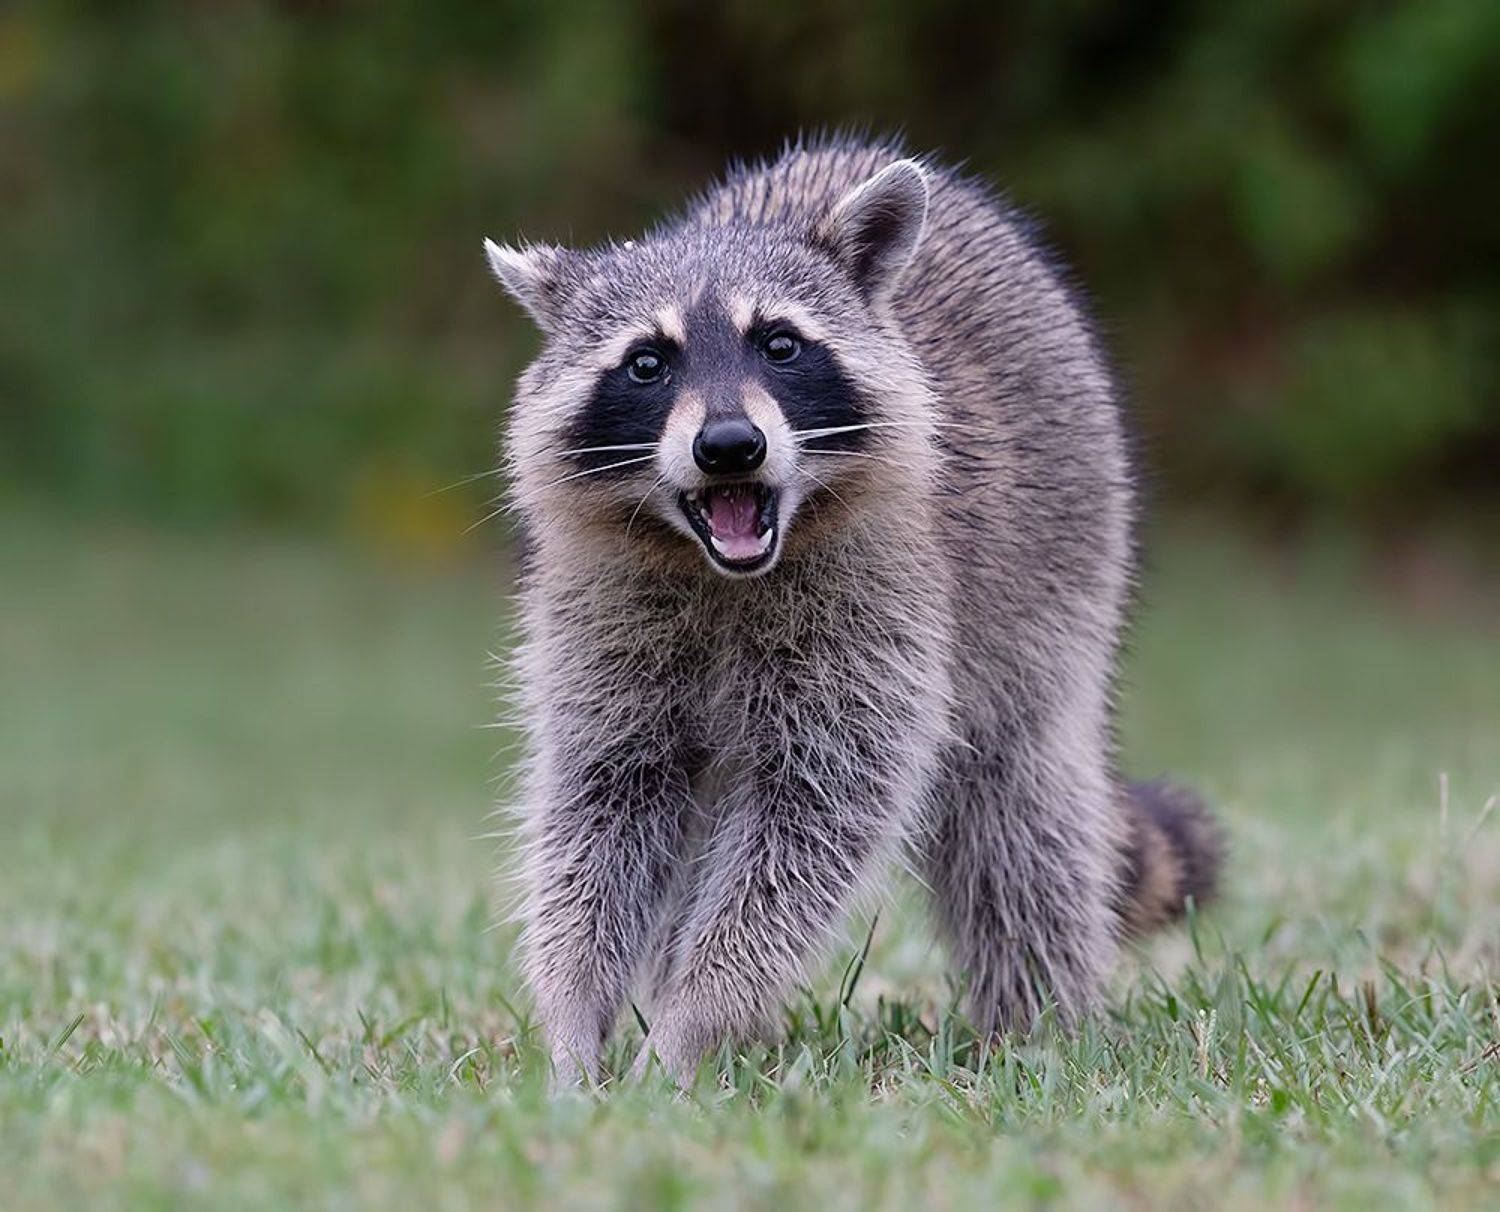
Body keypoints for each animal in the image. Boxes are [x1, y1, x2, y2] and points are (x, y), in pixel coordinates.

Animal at [484, 136, 1223, 1085]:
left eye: (781, 344)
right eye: (647, 362)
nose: (731, 446)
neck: (724, 572)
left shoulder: (883, 612)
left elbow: (812, 825)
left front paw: (692, 1022)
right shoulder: (600, 619)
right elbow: (599, 813)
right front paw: (578, 1018)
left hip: (1062, 577)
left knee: (1020, 817)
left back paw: (1040, 1020)